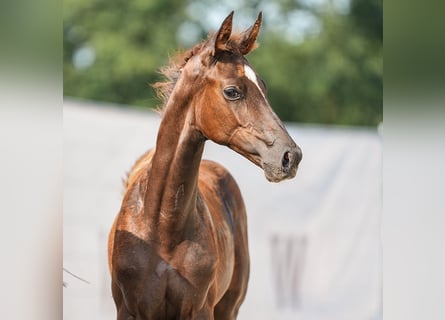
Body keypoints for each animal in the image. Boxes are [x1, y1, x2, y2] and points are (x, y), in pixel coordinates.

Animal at [108, 11, 302, 320]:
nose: (290, 156)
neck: (163, 226)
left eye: (264, 87)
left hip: (229, 306)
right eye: (232, 91)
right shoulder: (129, 310)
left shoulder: (200, 309)